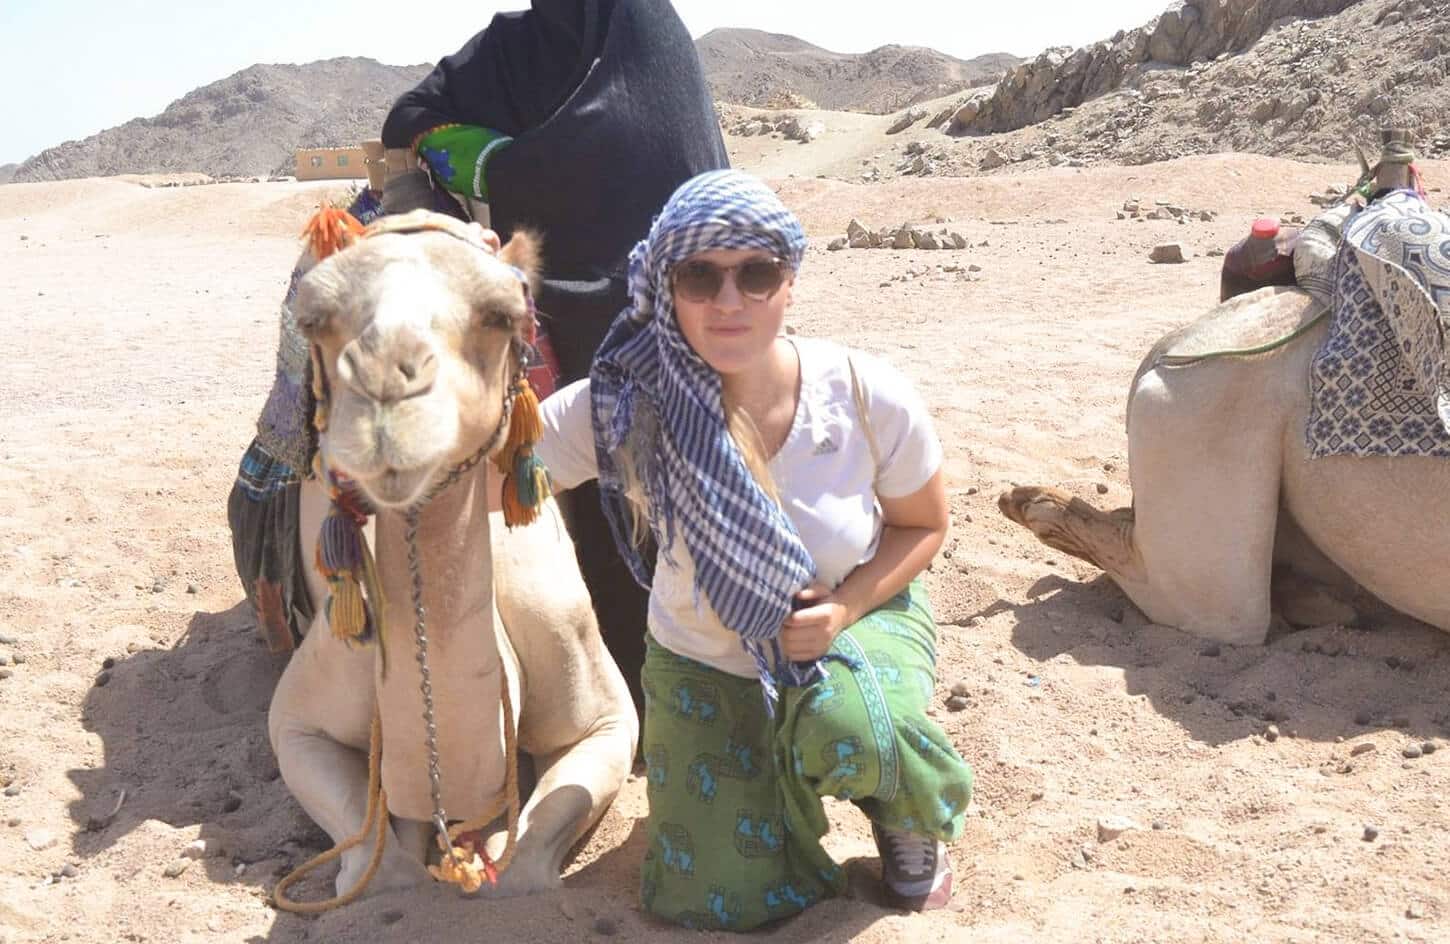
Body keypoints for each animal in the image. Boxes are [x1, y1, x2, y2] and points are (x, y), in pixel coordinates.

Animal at [267, 210, 637, 902]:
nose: (385, 385)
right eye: (314, 318)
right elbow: (382, 866)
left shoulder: (602, 709)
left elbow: (524, 864)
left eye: (501, 313)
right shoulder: (299, 718)